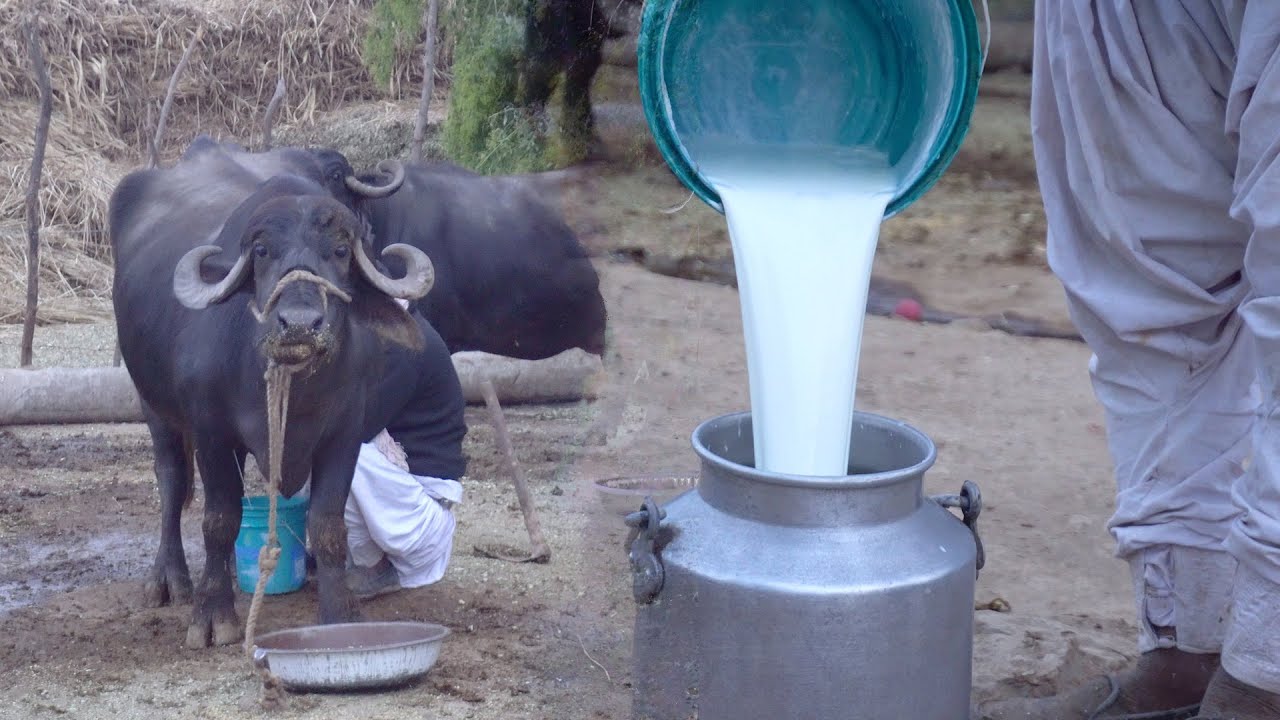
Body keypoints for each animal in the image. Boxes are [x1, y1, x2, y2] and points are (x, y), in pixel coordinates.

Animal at [111, 135, 430, 645]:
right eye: (261, 252)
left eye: (341, 250)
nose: (299, 324)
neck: (299, 392)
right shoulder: (211, 432)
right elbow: (219, 519)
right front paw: (212, 615)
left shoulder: (345, 432)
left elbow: (327, 524)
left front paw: (340, 613)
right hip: (153, 403)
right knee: (171, 478)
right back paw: (170, 580)